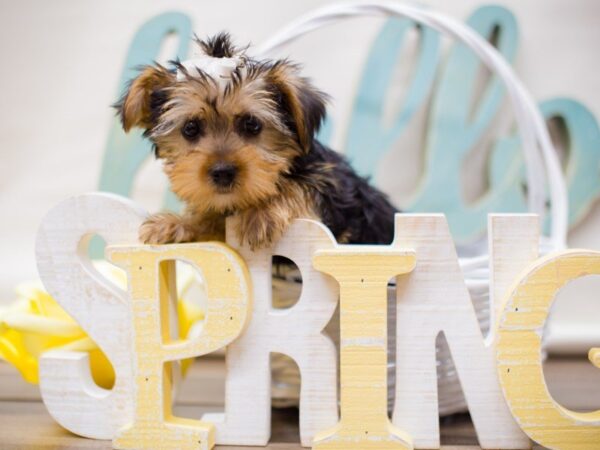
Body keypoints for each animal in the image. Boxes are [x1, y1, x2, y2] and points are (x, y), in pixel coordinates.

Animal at [117, 33, 398, 248]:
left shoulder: (338, 198)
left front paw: (261, 214)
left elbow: (301, 186)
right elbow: (212, 223)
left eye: (252, 124)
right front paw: (175, 224)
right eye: (190, 129)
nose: (222, 172)